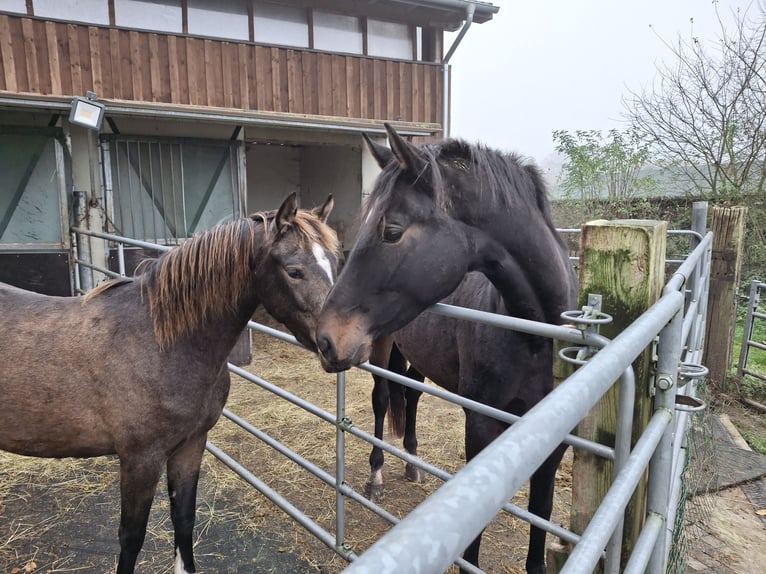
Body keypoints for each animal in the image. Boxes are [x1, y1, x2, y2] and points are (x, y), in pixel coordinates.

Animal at [0, 195, 338, 574]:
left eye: (335, 263)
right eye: (294, 271)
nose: (339, 346)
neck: (160, 342)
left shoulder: (191, 445)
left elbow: (184, 519)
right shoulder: (141, 459)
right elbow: (132, 536)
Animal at [316, 126, 576, 574]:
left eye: (391, 230)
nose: (326, 338)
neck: (535, 334)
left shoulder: (553, 436)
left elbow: (541, 513)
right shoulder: (480, 424)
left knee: (412, 396)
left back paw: (411, 464)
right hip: (381, 349)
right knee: (383, 400)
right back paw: (376, 477)